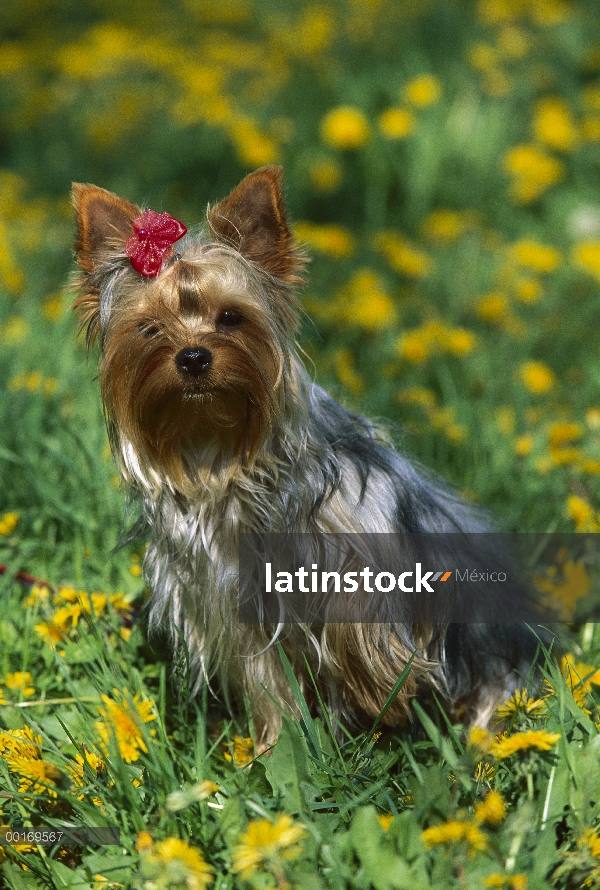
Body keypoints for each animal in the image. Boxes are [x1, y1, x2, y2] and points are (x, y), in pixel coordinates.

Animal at [72, 166, 548, 748]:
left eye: (230, 317)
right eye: (148, 328)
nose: (192, 358)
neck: (217, 448)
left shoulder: (365, 525)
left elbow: (357, 602)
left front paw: (380, 688)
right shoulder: (233, 603)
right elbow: (268, 680)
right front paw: (277, 748)